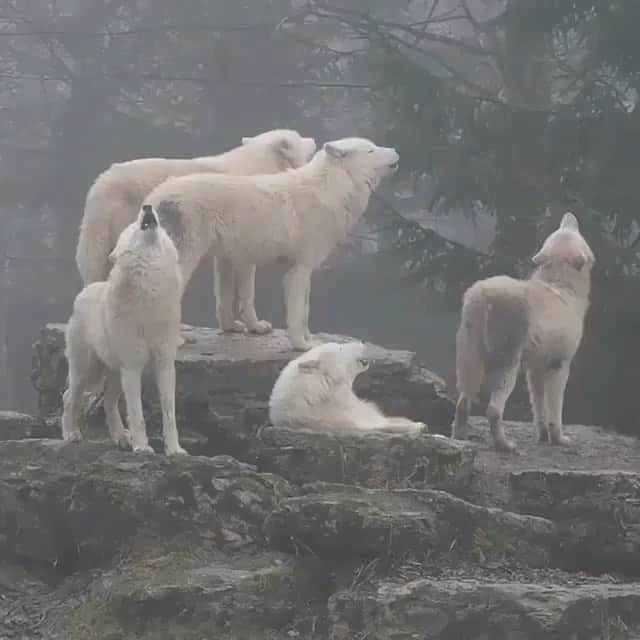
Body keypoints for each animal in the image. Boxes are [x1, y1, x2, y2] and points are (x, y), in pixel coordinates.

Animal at [63, 204, 185, 455]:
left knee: (108, 403)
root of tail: (86, 290)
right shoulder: (133, 366)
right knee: (69, 396)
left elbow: (169, 414)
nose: (147, 206)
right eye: (132, 229)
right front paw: (143, 448)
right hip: (87, 372)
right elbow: (137, 414)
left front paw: (174, 450)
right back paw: (71, 434)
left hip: (114, 375)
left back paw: (120, 438)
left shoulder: (165, 365)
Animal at [75, 128, 317, 335]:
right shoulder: (246, 250)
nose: (314, 140)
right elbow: (247, 293)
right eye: (298, 136)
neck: (259, 165)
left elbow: (224, 292)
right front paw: (256, 326)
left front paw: (230, 326)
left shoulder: (225, 253)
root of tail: (100, 184)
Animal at [144, 137, 400, 350]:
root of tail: (154, 197)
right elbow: (297, 314)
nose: (396, 150)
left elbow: (300, 310)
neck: (331, 188)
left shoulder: (290, 268)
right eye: (371, 149)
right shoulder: (298, 271)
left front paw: (306, 339)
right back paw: (176, 340)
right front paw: (302, 346)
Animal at [451, 212, 595, 453]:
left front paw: (543, 435)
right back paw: (505, 445)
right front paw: (558, 439)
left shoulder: (535, 368)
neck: (562, 286)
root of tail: (484, 296)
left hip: (468, 356)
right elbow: (555, 408)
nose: (569, 215)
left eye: (570, 228)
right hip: (508, 362)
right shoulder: (560, 364)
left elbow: (538, 405)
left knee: (463, 401)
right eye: (577, 232)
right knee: (493, 410)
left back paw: (460, 437)